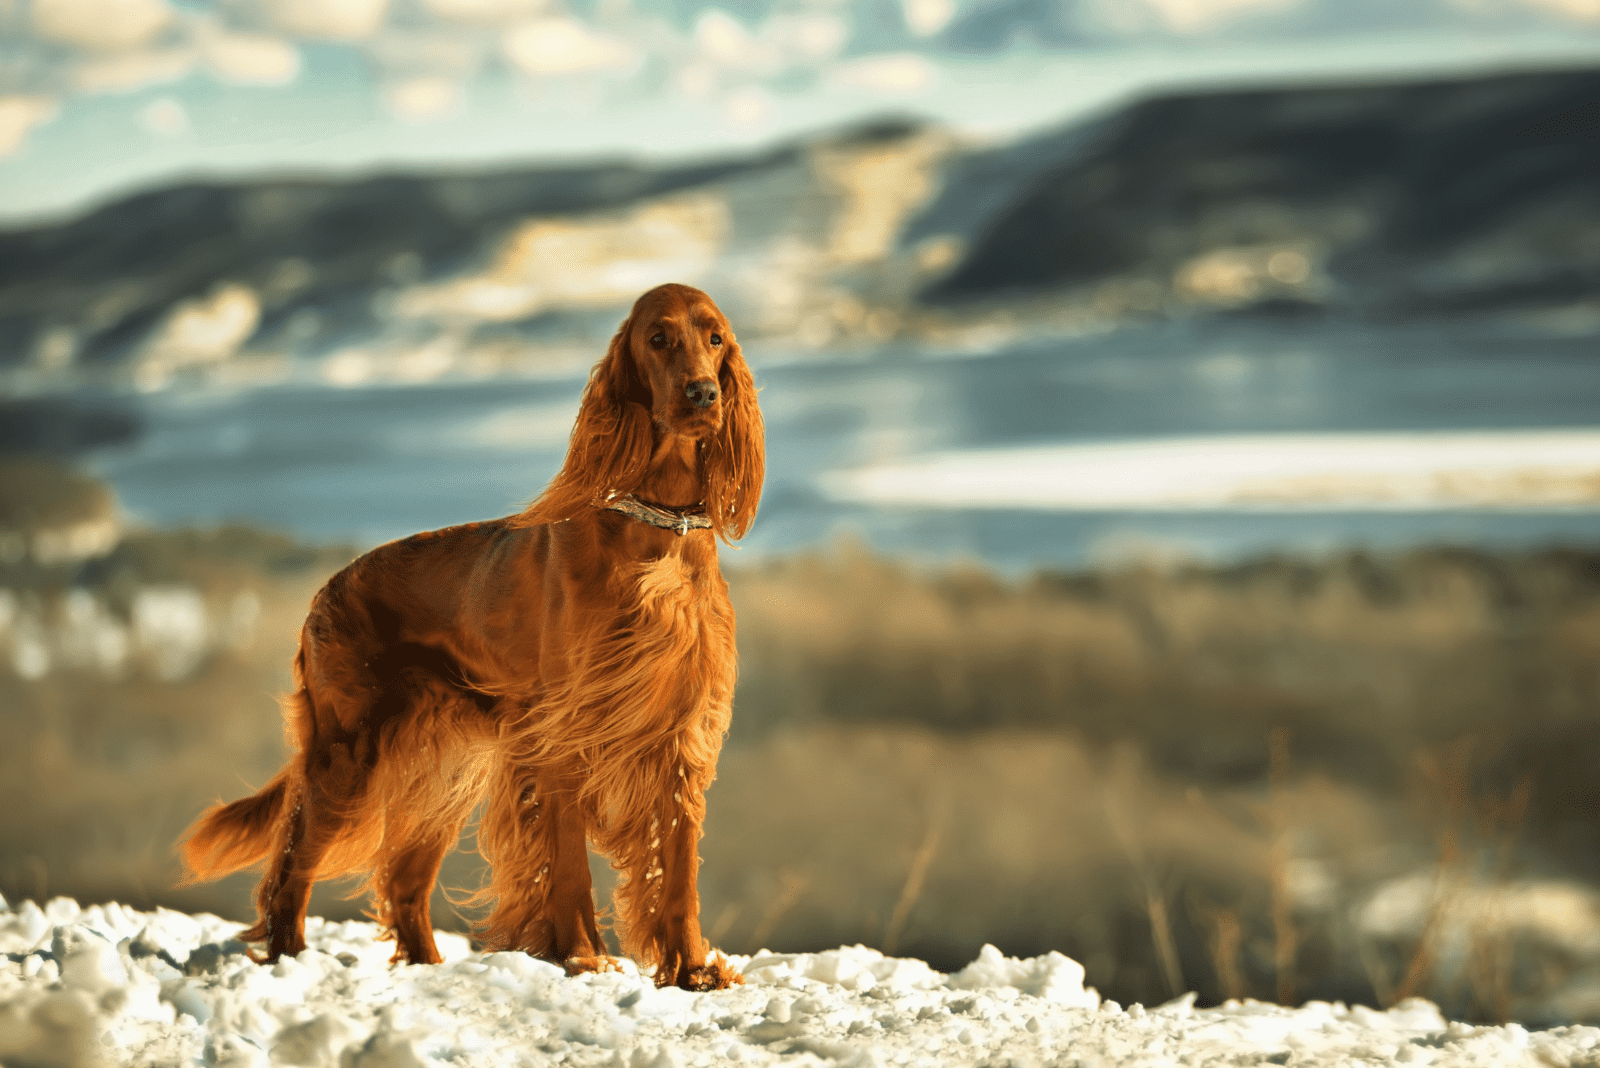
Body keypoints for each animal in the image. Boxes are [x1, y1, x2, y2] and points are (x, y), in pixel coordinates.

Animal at [178, 282, 764, 991]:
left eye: (715, 338)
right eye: (658, 338)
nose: (703, 394)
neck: (659, 533)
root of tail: (326, 589)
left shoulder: (678, 735)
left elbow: (676, 870)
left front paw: (692, 970)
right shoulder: (559, 737)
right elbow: (567, 865)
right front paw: (583, 958)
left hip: (442, 771)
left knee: (402, 882)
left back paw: (426, 969)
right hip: (348, 753)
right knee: (291, 865)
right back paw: (290, 960)